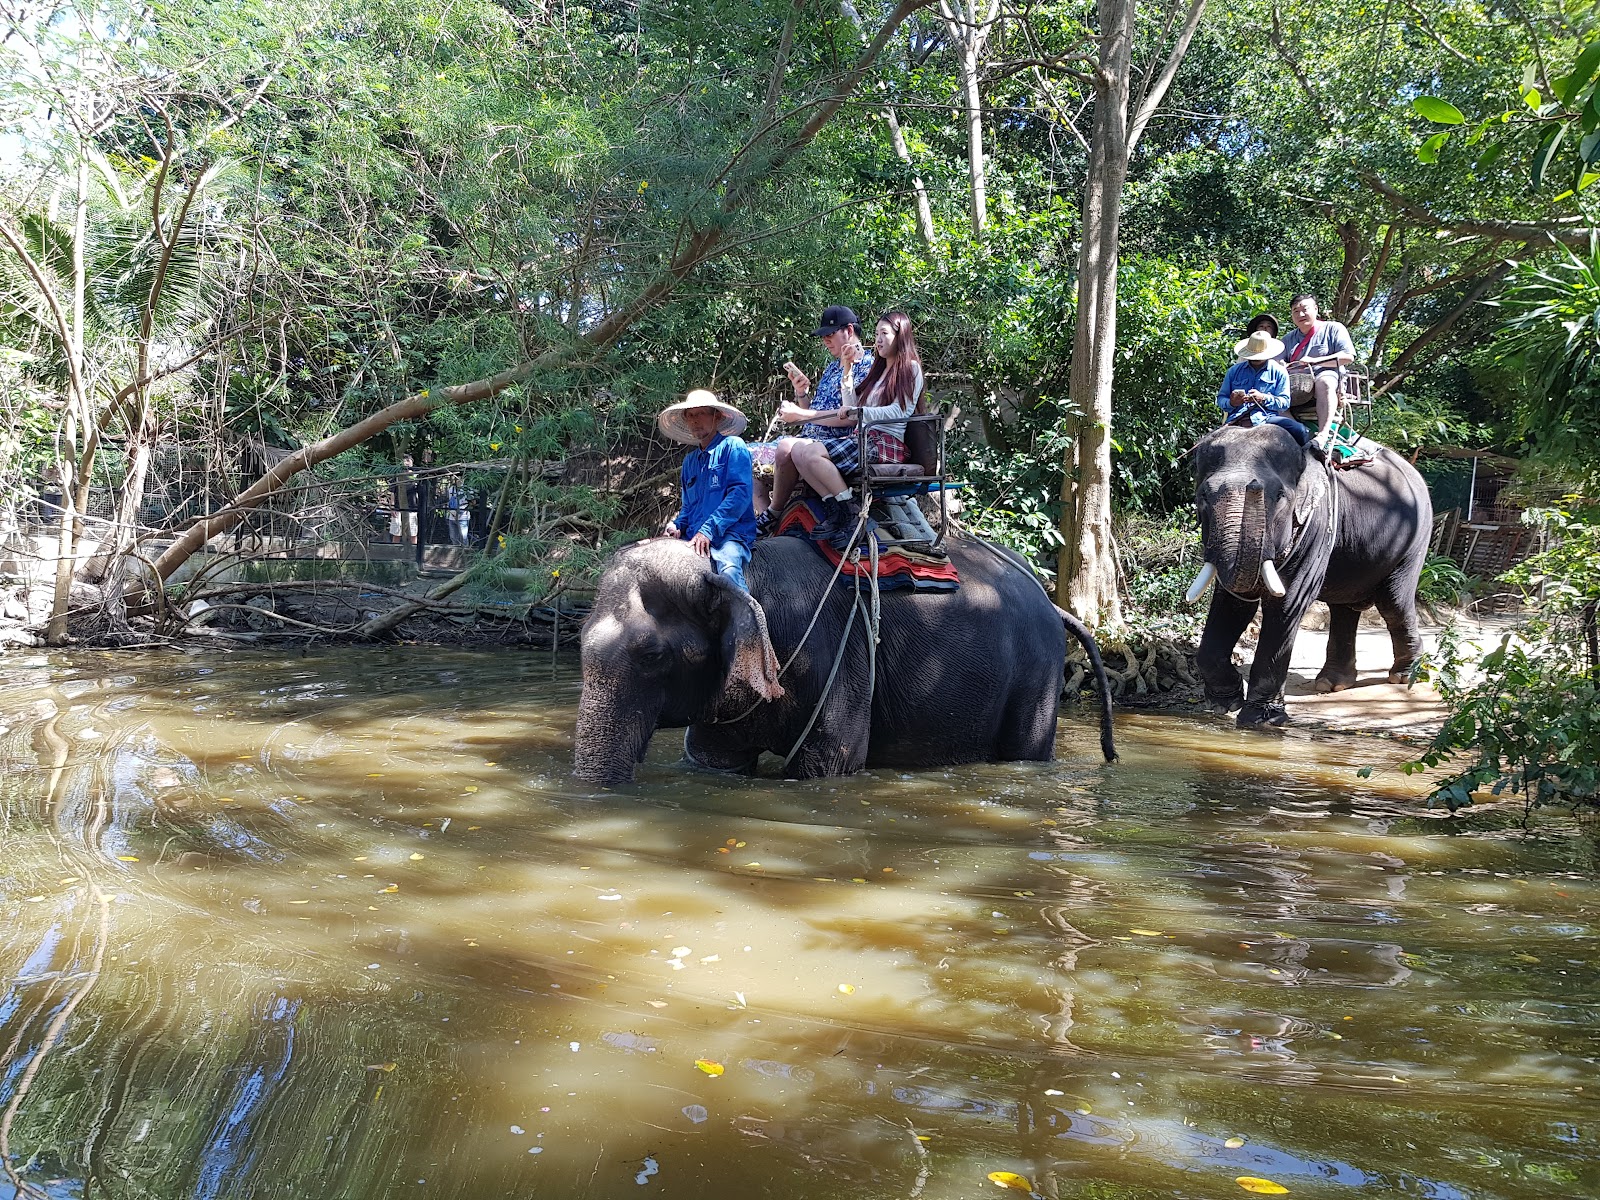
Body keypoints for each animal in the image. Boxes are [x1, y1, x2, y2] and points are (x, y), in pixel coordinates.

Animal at [573, 535, 1116, 784]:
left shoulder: (841, 652)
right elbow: (713, 759)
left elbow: (830, 761)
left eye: (651, 654)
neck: (736, 571)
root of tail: (1051, 602)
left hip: (1037, 675)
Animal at [1187, 422, 1433, 727]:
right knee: (1344, 608)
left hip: (1414, 541)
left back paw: (1404, 676)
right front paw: (1225, 704)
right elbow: (1232, 603)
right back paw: (1332, 684)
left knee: (1393, 603)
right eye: (1203, 497)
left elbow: (1287, 604)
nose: (1254, 485)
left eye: (1280, 497)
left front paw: (1260, 721)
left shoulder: (1317, 523)